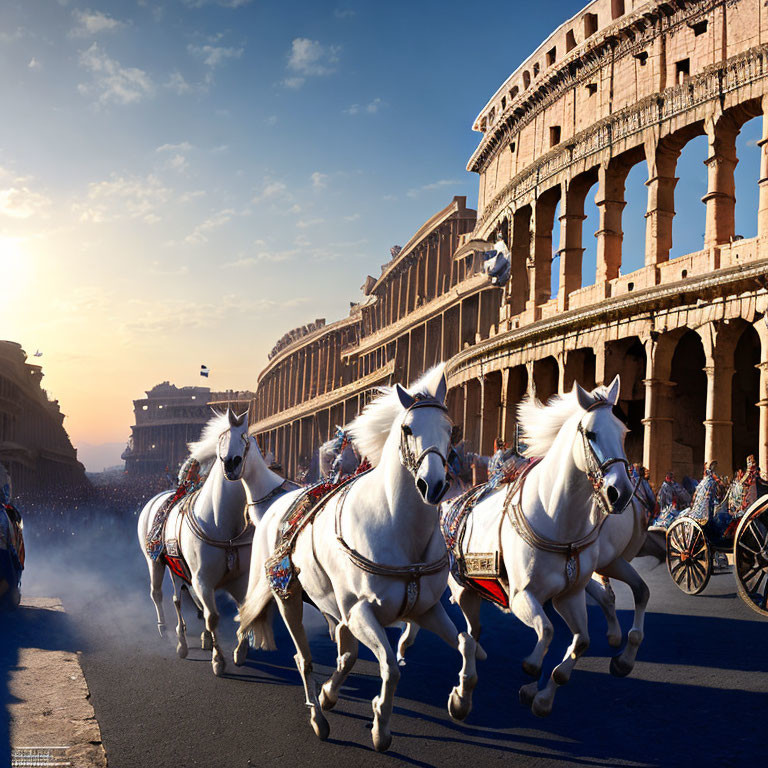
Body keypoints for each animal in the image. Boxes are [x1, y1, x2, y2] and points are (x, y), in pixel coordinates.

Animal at [136, 412, 286, 676]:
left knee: (179, 599)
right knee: (160, 595)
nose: (232, 464)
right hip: (154, 561)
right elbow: (212, 616)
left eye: (248, 439)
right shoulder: (203, 578)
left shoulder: (239, 578)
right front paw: (218, 660)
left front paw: (240, 652)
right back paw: (168, 632)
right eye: (222, 439)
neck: (222, 524)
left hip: (178, 568)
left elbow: (240, 610)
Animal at [240, 364, 476, 752]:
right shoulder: (360, 611)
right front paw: (381, 726)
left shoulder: (425, 609)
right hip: (287, 595)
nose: (434, 485)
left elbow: (466, 642)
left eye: (450, 428)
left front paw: (460, 699)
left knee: (345, 652)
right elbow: (390, 668)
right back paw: (318, 717)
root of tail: (276, 503)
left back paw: (327, 695)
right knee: (304, 658)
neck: (397, 527)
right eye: (408, 429)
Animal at [426, 376, 636, 716]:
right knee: (468, 635)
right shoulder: (521, 596)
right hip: (464, 589)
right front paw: (531, 668)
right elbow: (547, 631)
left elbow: (580, 643)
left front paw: (540, 697)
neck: (558, 520)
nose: (621, 492)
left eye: (623, 432)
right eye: (590, 433)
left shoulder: (569, 596)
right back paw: (460, 694)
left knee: (472, 635)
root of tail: (452, 503)